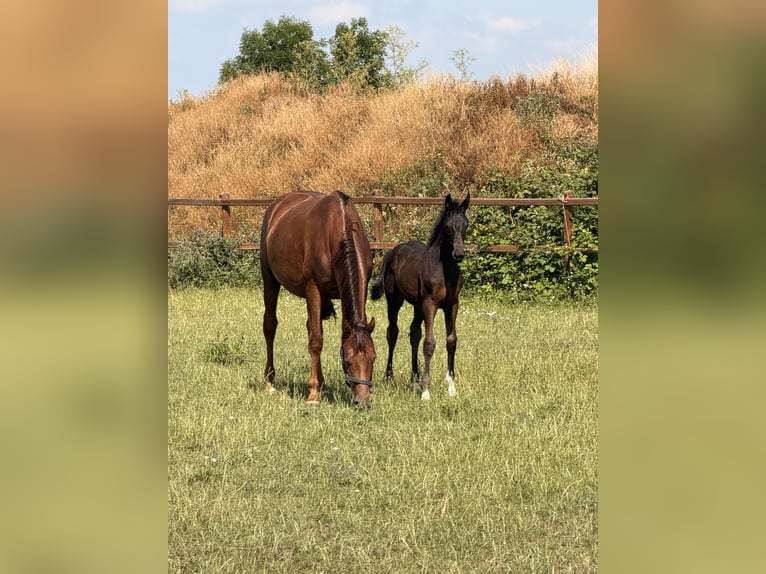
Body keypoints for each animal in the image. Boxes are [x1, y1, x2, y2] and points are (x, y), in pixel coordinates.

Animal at [260, 190, 377, 408]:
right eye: (348, 361)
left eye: (373, 358)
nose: (363, 401)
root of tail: (277, 205)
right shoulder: (313, 288)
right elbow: (316, 340)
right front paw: (313, 395)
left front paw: (318, 386)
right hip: (270, 279)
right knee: (270, 326)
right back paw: (270, 381)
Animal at [371, 193, 470, 400]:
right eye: (447, 226)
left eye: (466, 224)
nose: (458, 254)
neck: (445, 270)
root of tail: (392, 251)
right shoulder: (430, 304)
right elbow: (429, 343)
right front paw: (426, 390)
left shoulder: (452, 305)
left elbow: (451, 341)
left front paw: (451, 386)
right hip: (395, 300)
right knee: (393, 332)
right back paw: (389, 377)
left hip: (417, 305)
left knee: (414, 333)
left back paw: (414, 380)